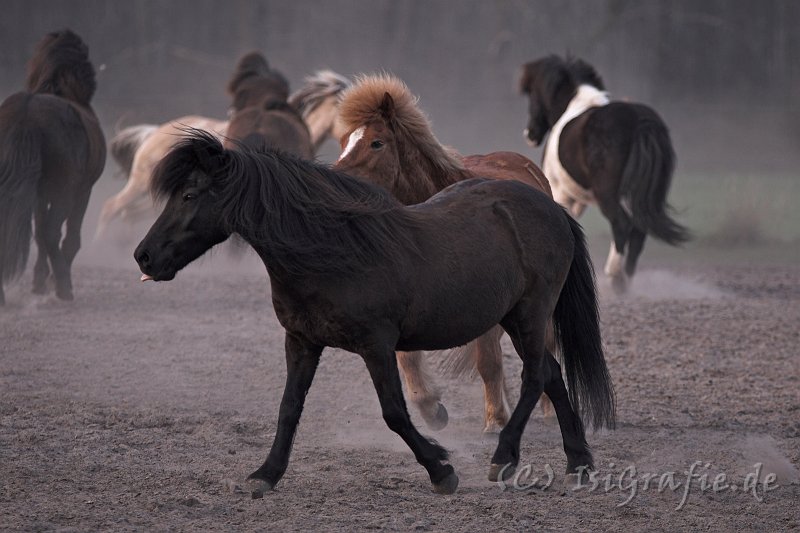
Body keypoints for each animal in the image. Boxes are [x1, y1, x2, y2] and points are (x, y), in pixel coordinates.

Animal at [0, 29, 105, 304]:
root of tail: (27, 113)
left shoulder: (37, 195)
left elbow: (39, 235)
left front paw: (39, 281)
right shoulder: (83, 192)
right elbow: (67, 238)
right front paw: (50, 281)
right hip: (65, 192)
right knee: (52, 233)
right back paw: (64, 287)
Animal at [134, 132, 616, 494]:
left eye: (190, 194)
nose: (144, 256)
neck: (331, 251)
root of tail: (550, 207)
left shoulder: (377, 346)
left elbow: (395, 413)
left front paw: (441, 469)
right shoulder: (301, 342)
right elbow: (289, 408)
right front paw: (265, 475)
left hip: (529, 313)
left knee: (536, 374)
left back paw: (504, 458)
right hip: (516, 319)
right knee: (551, 372)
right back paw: (578, 464)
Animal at [338, 74, 556, 432]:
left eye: (376, 143)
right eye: (344, 140)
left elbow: (488, 361)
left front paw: (496, 420)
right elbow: (408, 360)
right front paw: (432, 410)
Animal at [520, 54, 688, 290]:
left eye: (533, 95)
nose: (530, 134)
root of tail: (639, 120)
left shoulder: (561, 191)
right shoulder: (577, 198)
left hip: (608, 194)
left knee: (622, 224)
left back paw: (615, 277)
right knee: (639, 229)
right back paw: (626, 282)